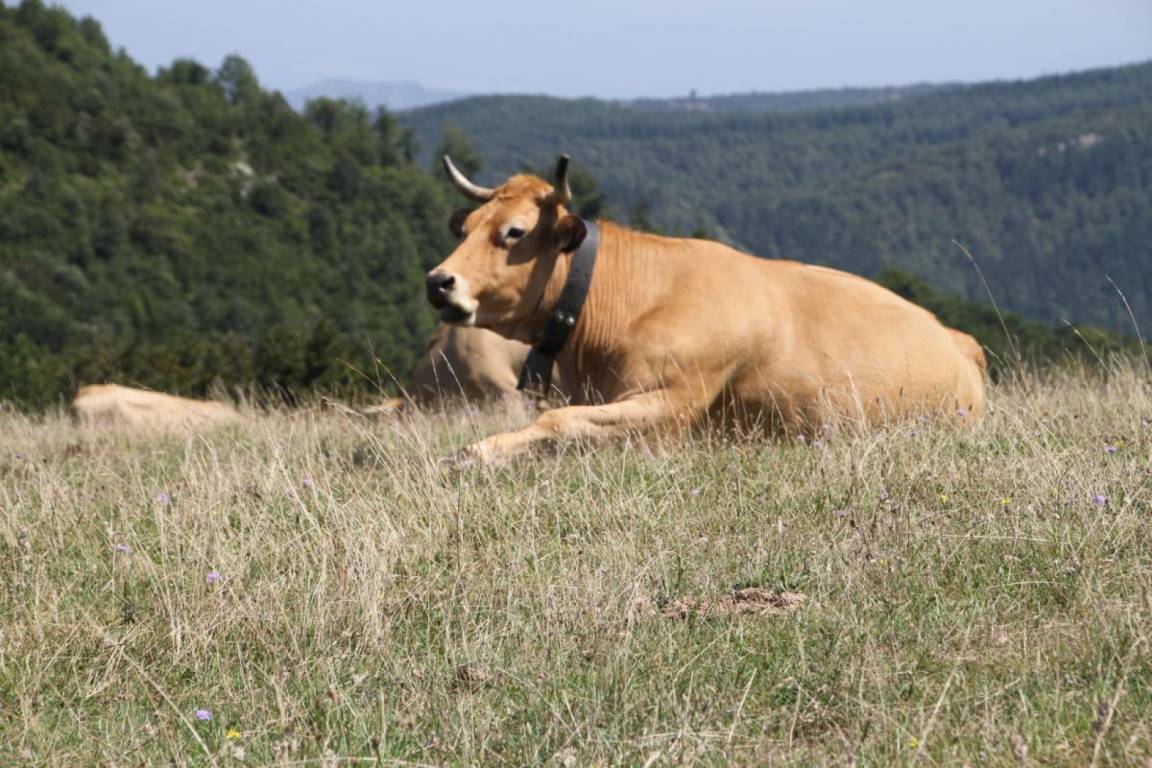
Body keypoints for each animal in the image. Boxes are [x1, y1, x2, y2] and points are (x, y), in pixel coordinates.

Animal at [427, 155, 987, 463]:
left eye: (514, 232)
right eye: (466, 225)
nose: (438, 282)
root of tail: (955, 339)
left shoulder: (673, 408)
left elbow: (559, 421)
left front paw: (476, 455)